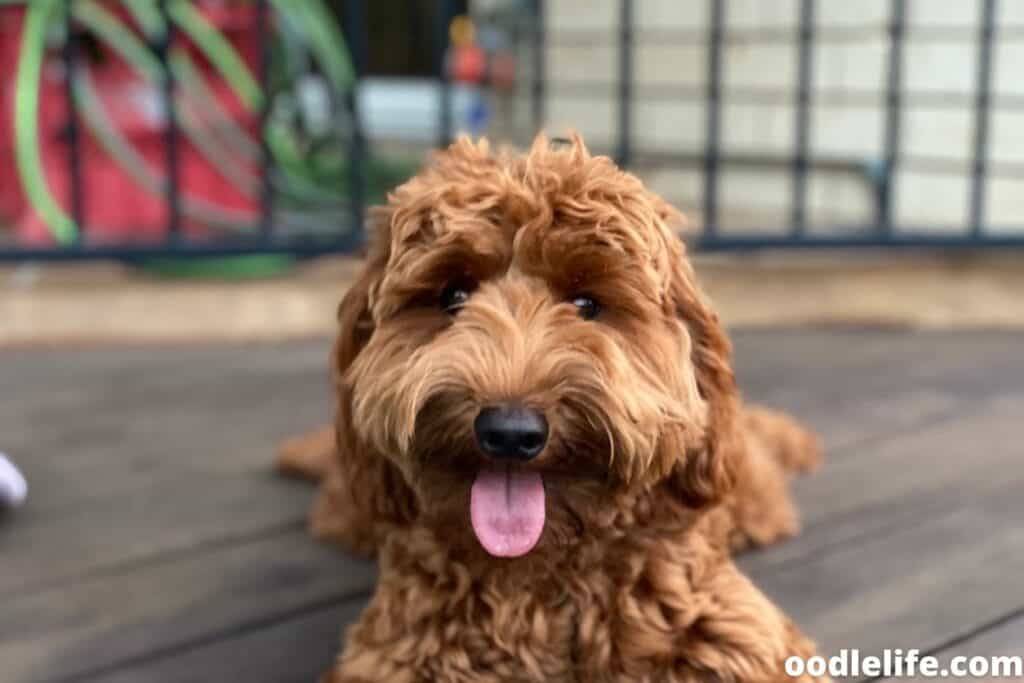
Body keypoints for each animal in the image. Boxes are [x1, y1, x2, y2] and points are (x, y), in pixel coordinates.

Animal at [278, 135, 823, 683]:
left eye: (586, 304)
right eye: (453, 295)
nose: (510, 432)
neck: (537, 573)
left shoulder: (724, 628)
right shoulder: (400, 648)